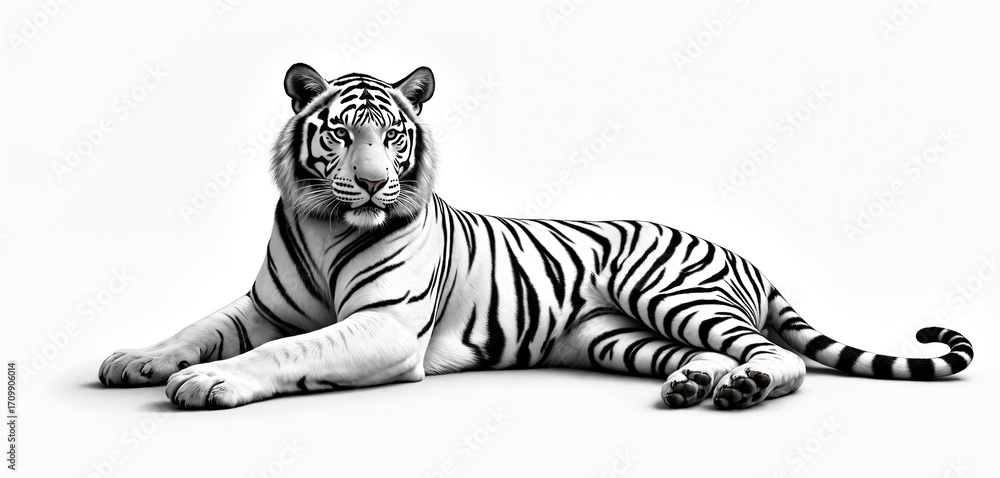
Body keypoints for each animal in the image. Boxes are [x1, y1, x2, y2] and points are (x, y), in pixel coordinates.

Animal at [98, 63, 974, 410]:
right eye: (343, 134)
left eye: (394, 135)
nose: (376, 184)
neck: (324, 225)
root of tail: (743, 253)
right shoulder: (265, 304)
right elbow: (200, 326)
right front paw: (136, 359)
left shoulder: (384, 327)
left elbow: (287, 352)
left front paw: (210, 382)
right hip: (618, 337)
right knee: (706, 356)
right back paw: (697, 386)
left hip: (672, 292)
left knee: (771, 355)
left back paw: (746, 388)